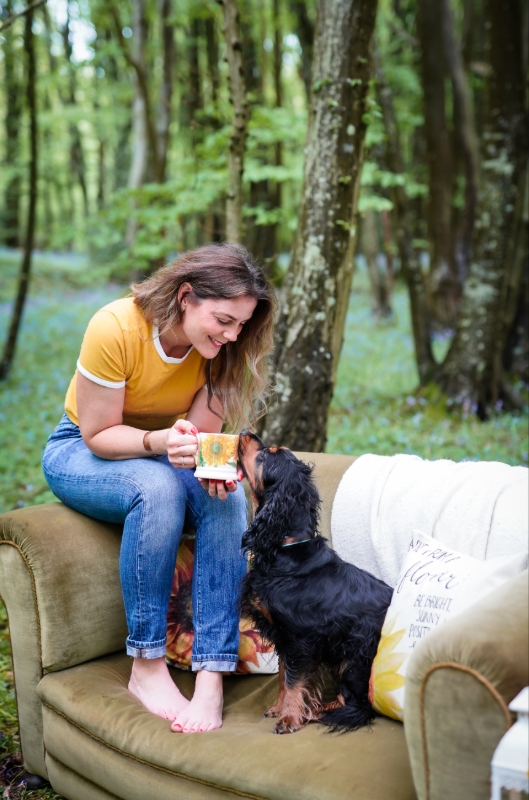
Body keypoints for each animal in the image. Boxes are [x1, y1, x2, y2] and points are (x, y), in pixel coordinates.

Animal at [237, 432, 390, 732]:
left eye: (266, 455)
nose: (247, 432)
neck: (286, 549)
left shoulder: (300, 637)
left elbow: (294, 680)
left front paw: (289, 718)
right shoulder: (283, 635)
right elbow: (284, 675)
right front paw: (280, 708)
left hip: (354, 654)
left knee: (356, 705)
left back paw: (316, 712)